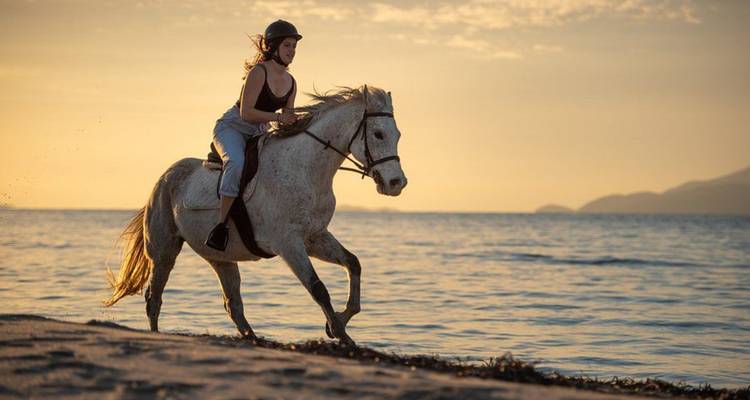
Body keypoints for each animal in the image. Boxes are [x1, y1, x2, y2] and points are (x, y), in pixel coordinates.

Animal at [104, 86, 407, 345]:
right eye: (378, 134)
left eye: (398, 135)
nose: (396, 184)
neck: (305, 168)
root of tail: (164, 178)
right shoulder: (288, 243)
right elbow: (318, 288)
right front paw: (340, 334)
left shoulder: (314, 237)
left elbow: (353, 264)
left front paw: (339, 323)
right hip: (164, 250)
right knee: (154, 298)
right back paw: (156, 335)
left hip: (220, 258)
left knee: (233, 304)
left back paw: (253, 338)